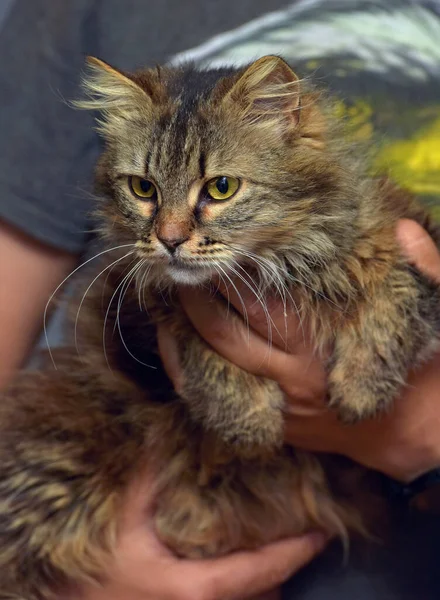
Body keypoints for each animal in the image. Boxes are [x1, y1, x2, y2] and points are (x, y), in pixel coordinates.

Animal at [0, 56, 440, 600]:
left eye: (221, 188)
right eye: (144, 189)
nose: (168, 240)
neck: (281, 266)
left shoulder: (406, 233)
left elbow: (396, 295)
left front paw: (363, 389)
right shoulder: (145, 308)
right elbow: (199, 351)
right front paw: (249, 421)